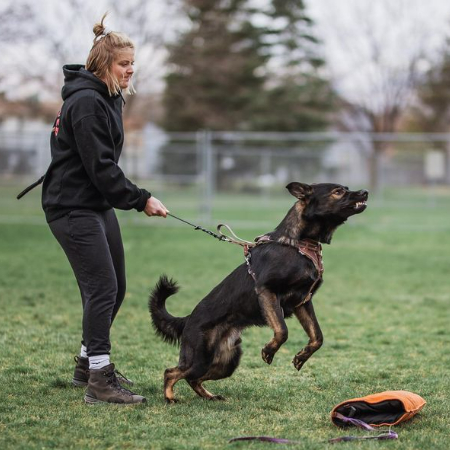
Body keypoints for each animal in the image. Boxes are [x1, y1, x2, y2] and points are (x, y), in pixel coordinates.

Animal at [149, 183, 368, 404]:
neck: (298, 243)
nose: (365, 192)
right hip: (201, 358)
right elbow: (282, 330)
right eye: (338, 192)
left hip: (226, 362)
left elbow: (317, 336)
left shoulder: (302, 302)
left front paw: (302, 356)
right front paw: (269, 350)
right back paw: (170, 397)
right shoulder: (267, 291)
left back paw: (209, 396)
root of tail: (188, 319)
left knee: (193, 378)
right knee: (172, 372)